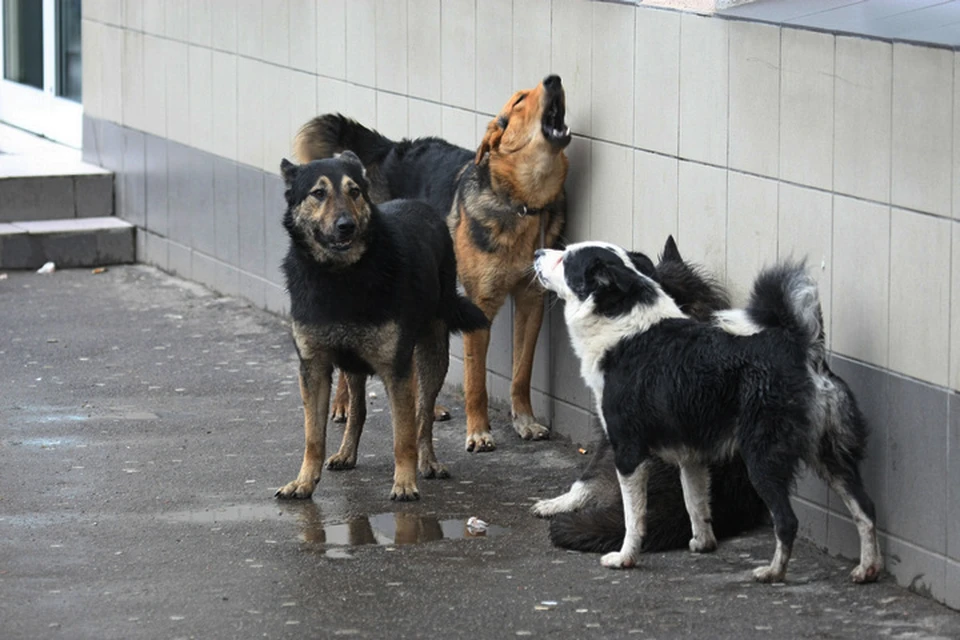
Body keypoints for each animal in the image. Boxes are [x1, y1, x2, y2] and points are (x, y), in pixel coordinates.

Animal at [276, 152, 488, 502]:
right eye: (318, 193)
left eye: (354, 192)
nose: (346, 226)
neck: (341, 276)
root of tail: (419, 204)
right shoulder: (314, 369)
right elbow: (313, 436)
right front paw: (304, 481)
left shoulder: (396, 370)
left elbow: (403, 434)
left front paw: (404, 483)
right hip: (353, 362)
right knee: (358, 408)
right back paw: (346, 452)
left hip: (432, 355)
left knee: (422, 415)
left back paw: (428, 462)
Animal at [294, 75, 568, 452]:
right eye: (519, 100)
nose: (554, 79)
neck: (522, 203)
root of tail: (391, 148)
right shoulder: (480, 304)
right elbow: (475, 379)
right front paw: (479, 431)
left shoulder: (532, 301)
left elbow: (521, 372)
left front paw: (524, 420)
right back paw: (343, 404)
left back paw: (426, 405)